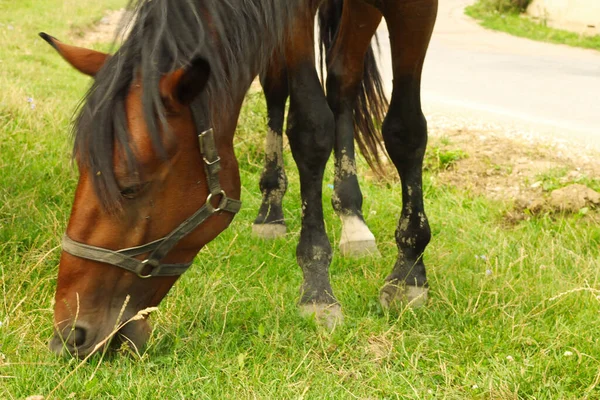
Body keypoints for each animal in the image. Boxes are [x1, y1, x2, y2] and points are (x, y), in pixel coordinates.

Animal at [41, 0, 436, 360]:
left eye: (130, 187)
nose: (70, 335)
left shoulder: (415, 8)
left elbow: (404, 129)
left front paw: (407, 273)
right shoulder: (291, 16)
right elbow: (309, 126)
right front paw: (318, 285)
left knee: (343, 84)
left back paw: (353, 220)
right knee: (287, 87)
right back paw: (274, 210)